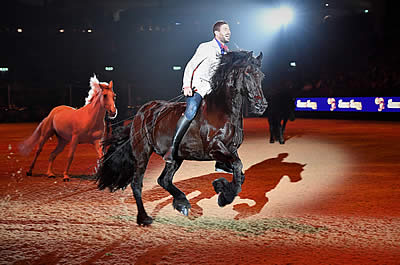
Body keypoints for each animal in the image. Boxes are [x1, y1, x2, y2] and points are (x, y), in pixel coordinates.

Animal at [95, 50, 268, 224]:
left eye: (261, 76)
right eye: (247, 73)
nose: (261, 105)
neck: (222, 112)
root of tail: (140, 113)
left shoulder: (230, 150)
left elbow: (239, 172)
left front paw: (220, 188)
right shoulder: (214, 149)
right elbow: (238, 166)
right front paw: (225, 196)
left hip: (176, 158)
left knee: (163, 180)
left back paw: (182, 203)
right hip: (142, 154)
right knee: (137, 184)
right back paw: (144, 218)